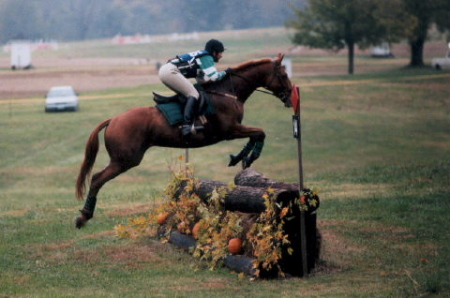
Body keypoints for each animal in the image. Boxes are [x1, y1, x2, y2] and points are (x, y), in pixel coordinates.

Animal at [74, 53, 292, 228]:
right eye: (283, 75)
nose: (290, 97)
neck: (228, 92)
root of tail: (113, 120)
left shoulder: (234, 130)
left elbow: (256, 134)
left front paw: (240, 158)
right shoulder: (230, 130)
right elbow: (260, 133)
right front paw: (248, 157)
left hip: (123, 160)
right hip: (125, 160)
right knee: (97, 179)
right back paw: (83, 217)